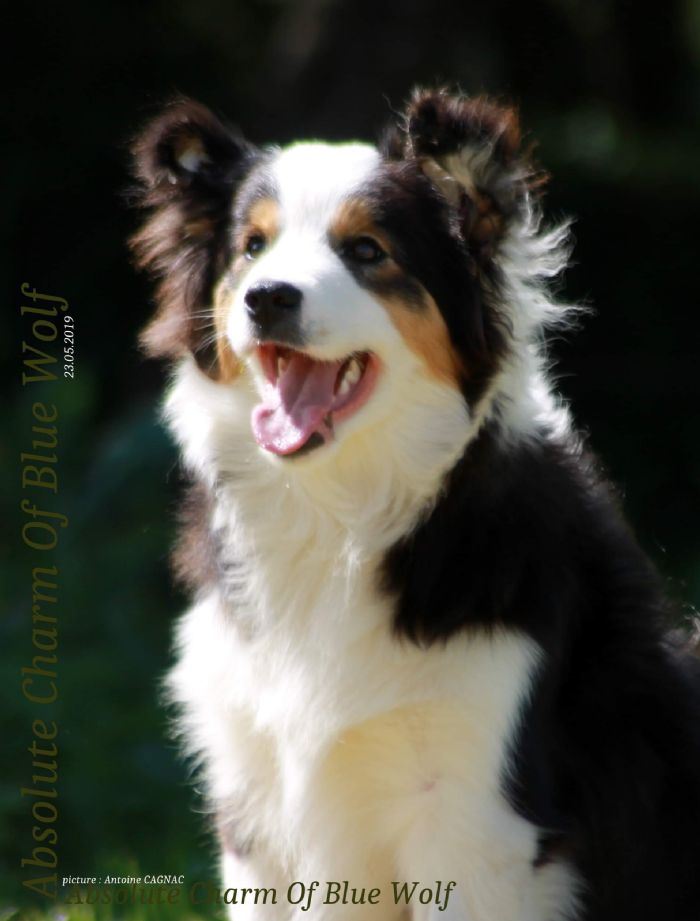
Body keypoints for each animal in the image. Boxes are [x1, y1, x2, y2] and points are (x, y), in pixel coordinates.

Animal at [129, 88, 700, 920]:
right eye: (252, 247)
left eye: (367, 251)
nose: (267, 298)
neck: (338, 512)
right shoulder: (257, 810)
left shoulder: (474, 816)